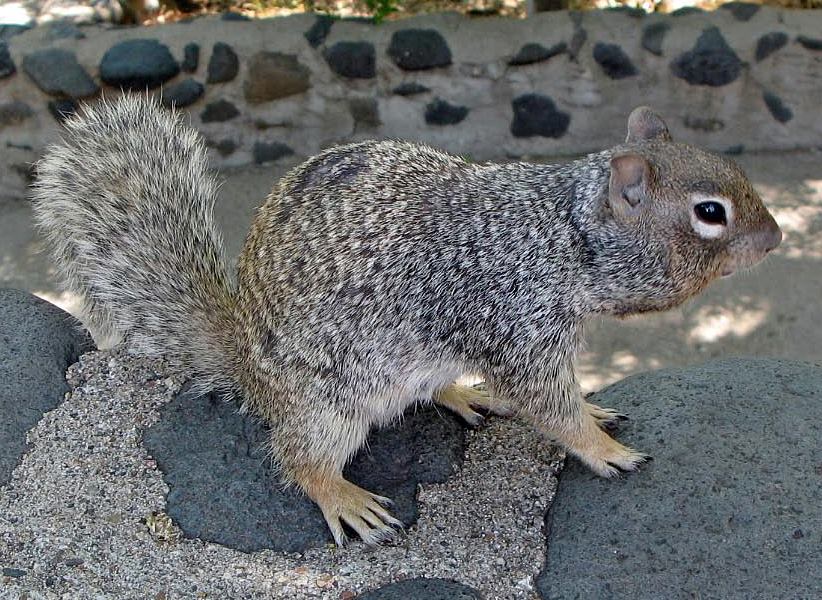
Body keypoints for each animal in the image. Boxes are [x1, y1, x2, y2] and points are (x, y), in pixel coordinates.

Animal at [30, 95, 780, 548]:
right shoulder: (517, 321)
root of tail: (243, 357)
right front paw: (599, 446)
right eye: (709, 212)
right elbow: (549, 407)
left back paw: (461, 392)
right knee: (298, 458)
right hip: (325, 405)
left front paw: (593, 411)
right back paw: (342, 496)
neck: (562, 235)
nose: (775, 240)